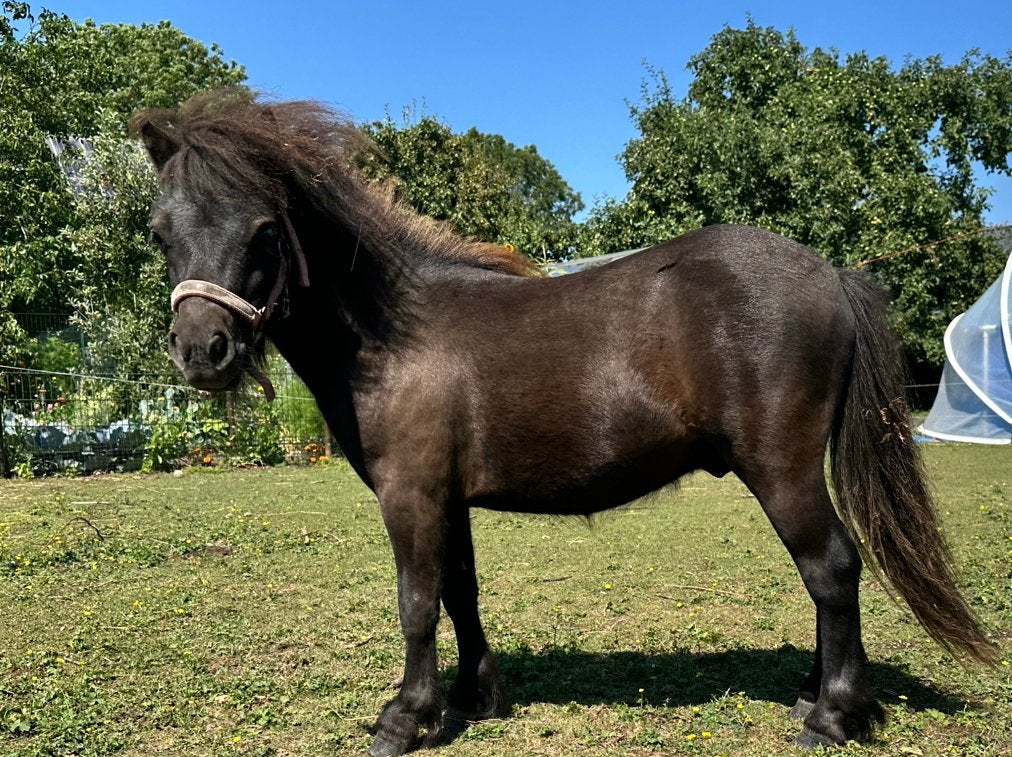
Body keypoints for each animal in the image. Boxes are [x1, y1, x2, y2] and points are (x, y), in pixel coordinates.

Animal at [131, 89, 995, 756]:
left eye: (263, 231)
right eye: (161, 232)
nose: (201, 350)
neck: (393, 334)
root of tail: (831, 273)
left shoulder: (410, 494)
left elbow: (416, 601)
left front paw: (406, 717)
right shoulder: (447, 498)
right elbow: (460, 592)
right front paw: (475, 697)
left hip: (781, 471)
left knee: (834, 568)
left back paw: (833, 714)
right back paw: (817, 692)